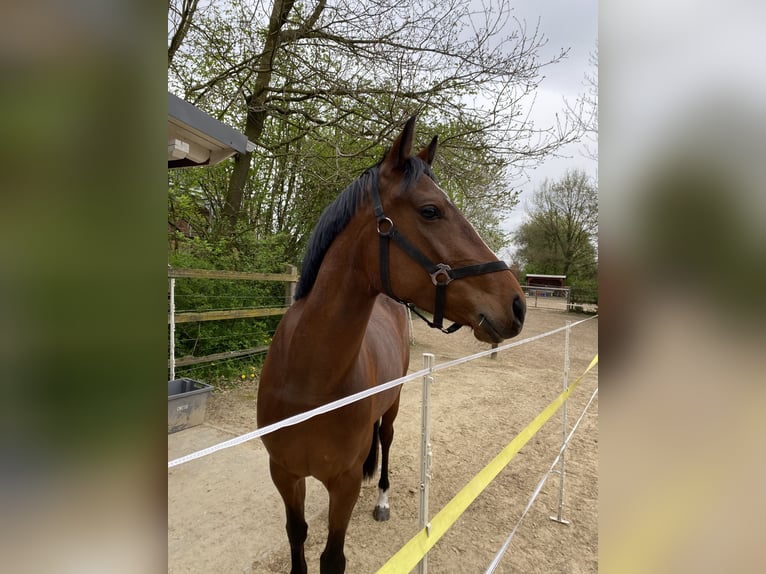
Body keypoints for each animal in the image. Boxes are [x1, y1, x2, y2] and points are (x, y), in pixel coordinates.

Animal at [256, 115, 526, 573]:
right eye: (430, 211)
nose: (517, 304)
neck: (309, 381)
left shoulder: (344, 483)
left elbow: (333, 557)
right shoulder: (284, 474)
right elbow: (297, 536)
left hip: (395, 404)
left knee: (385, 442)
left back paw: (382, 499)